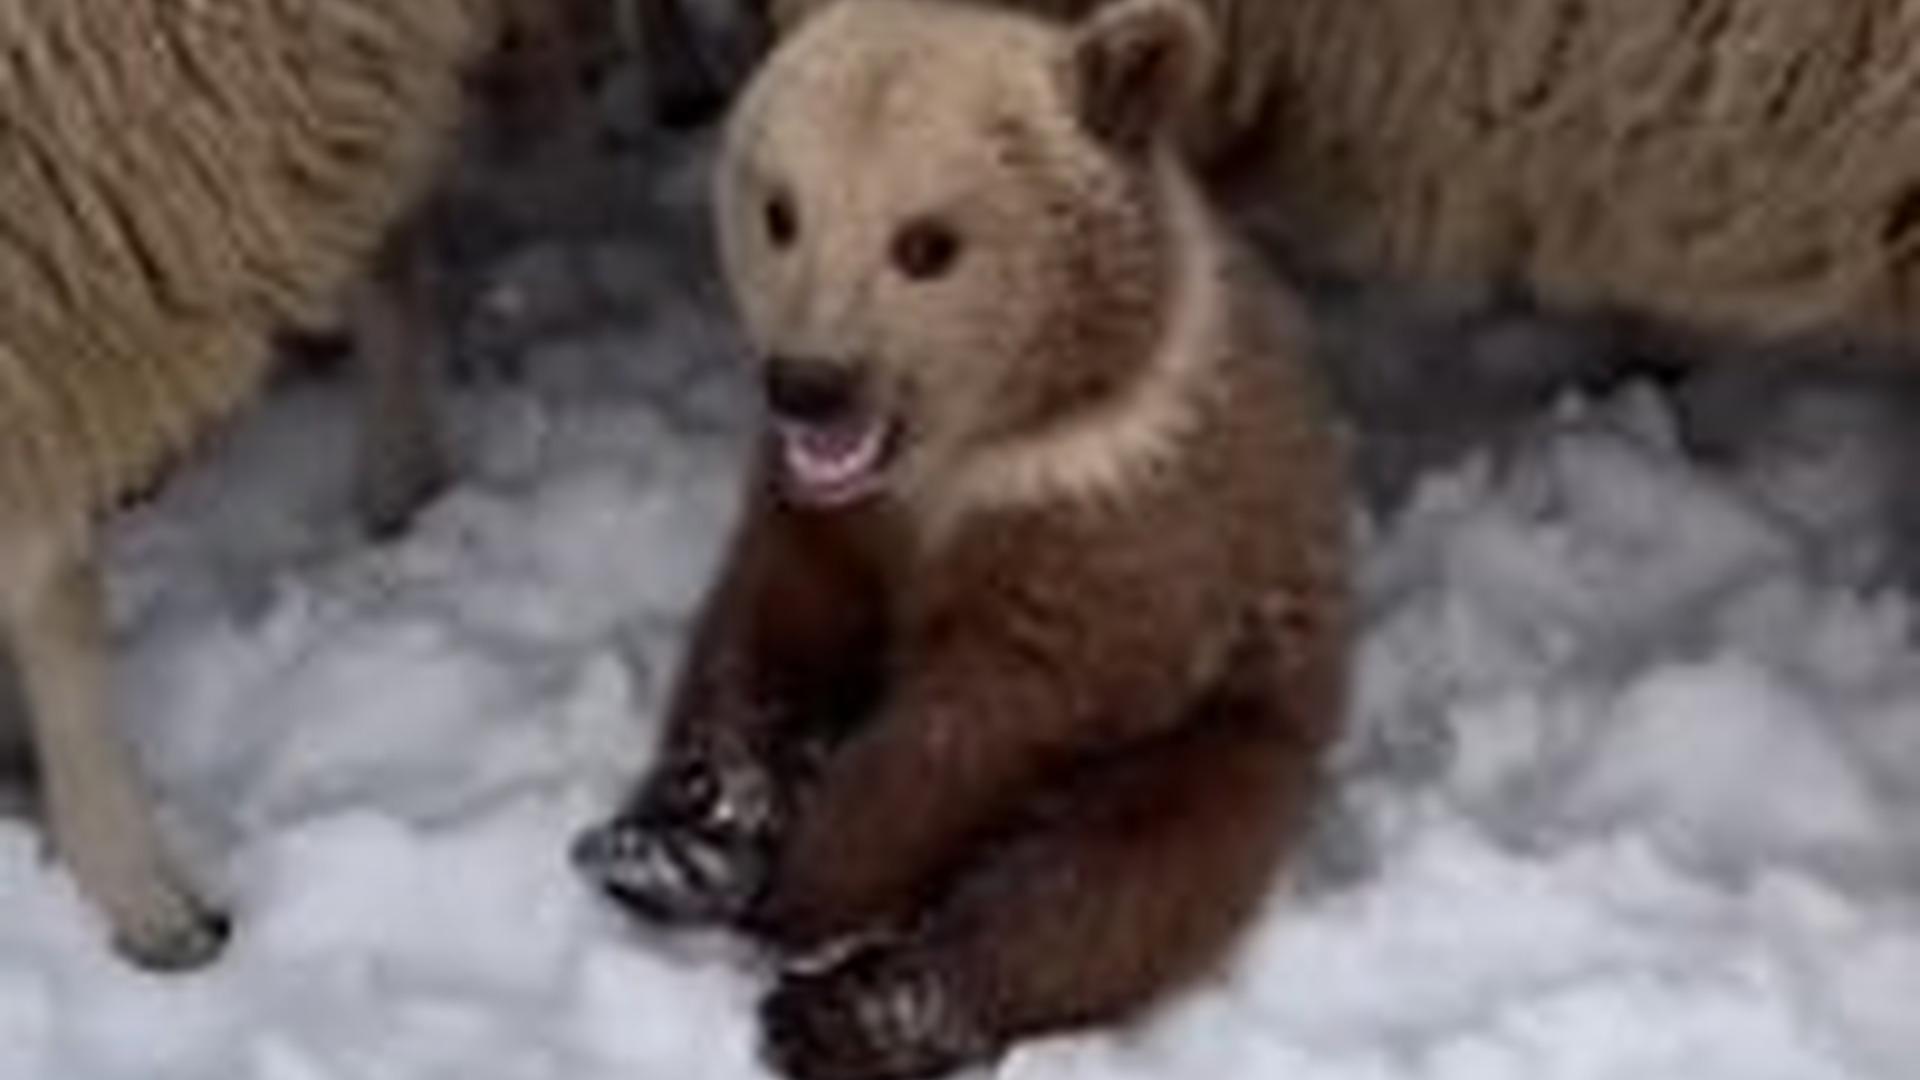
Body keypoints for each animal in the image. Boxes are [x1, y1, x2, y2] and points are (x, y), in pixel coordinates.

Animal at [571, 1, 1351, 1077]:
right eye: (781, 210)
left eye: (928, 242)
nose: (811, 384)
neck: (966, 457)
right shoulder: (827, 516)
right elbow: (764, 628)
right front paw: (689, 828)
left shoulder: (1120, 537)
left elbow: (970, 730)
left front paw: (806, 882)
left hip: (1240, 719)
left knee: (1122, 876)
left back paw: (852, 1011)